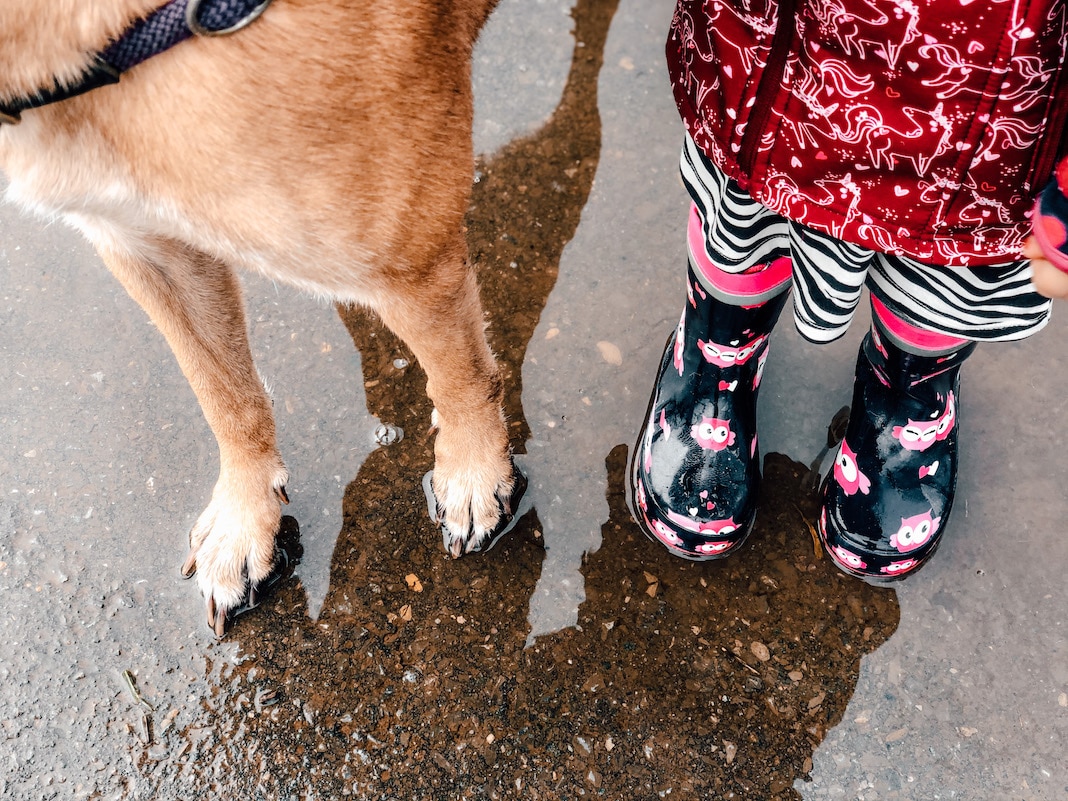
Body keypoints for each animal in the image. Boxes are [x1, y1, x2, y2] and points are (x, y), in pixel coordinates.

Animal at [0, 1, 516, 640]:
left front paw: (474, 476)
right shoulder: (142, 241)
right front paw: (244, 524)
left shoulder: (408, 262)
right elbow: (224, 395)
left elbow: (461, 377)